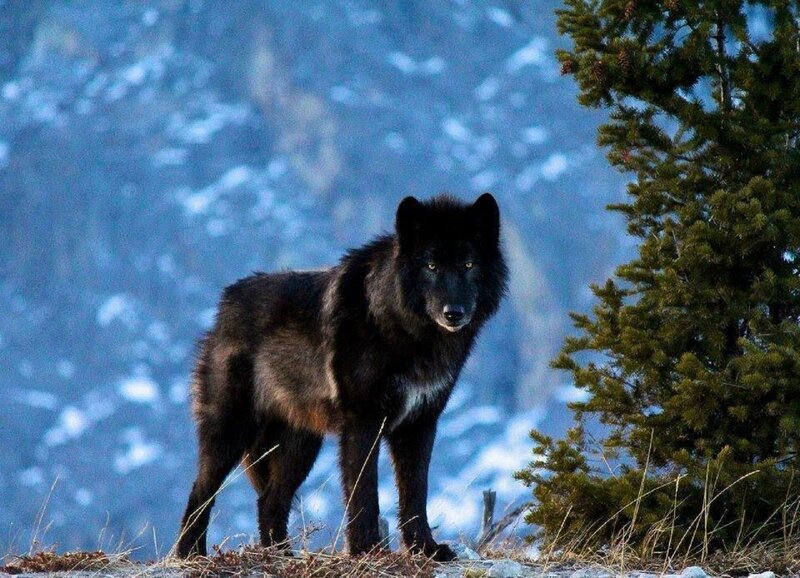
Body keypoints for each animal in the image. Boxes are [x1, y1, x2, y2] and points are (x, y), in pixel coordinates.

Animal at [176, 193, 507, 561]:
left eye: (468, 265)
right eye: (431, 266)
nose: (454, 313)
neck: (403, 328)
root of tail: (224, 304)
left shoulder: (419, 424)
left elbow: (415, 493)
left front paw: (425, 549)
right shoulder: (362, 422)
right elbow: (363, 491)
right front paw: (367, 549)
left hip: (301, 447)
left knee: (270, 500)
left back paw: (281, 555)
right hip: (231, 431)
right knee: (200, 491)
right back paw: (190, 553)